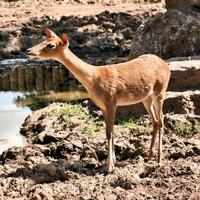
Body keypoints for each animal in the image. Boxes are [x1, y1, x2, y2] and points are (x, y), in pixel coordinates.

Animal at [26, 28, 170, 173]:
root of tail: (165, 64)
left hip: (160, 90)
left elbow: (109, 132)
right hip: (146, 97)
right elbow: (109, 131)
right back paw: (150, 155)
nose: (28, 50)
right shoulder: (102, 105)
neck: (93, 79)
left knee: (161, 120)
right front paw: (113, 162)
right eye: (43, 40)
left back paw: (159, 159)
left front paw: (109, 167)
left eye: (50, 45)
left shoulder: (111, 100)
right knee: (155, 120)